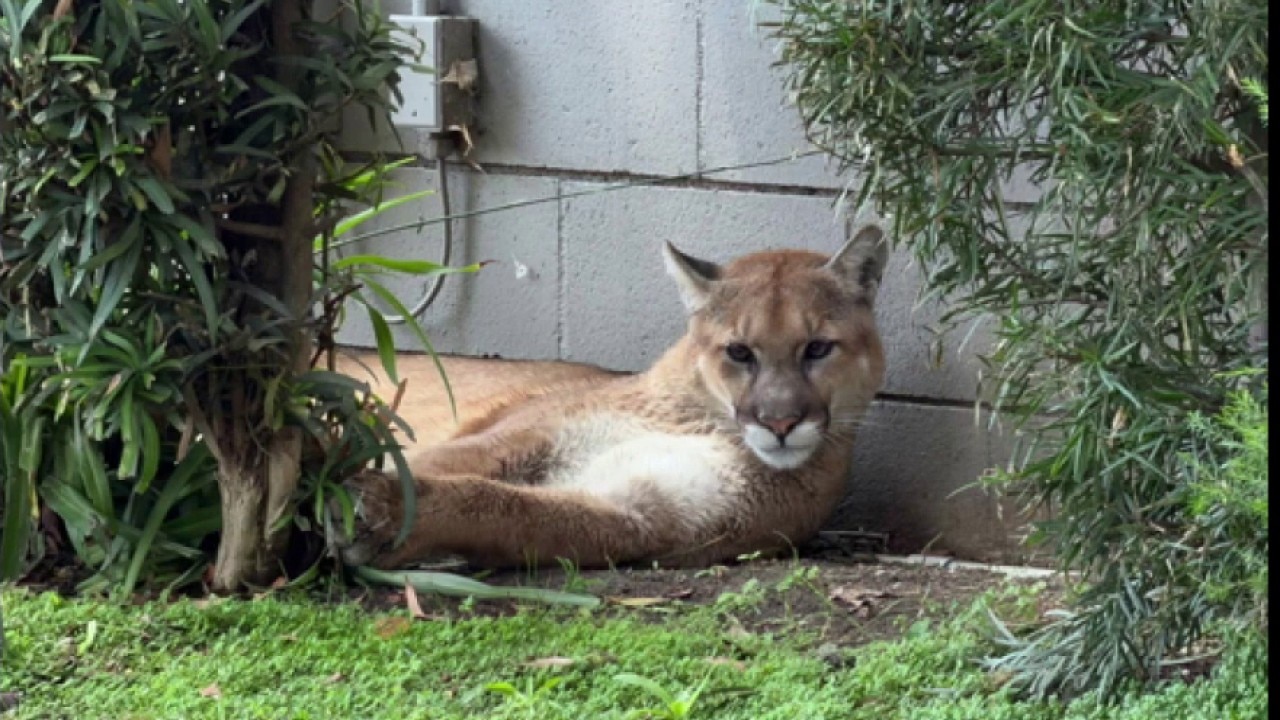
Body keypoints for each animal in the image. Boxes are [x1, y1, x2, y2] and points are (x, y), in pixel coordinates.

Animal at [332, 224, 889, 570]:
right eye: (739, 352)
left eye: (817, 348)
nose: (779, 422)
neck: (707, 424)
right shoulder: (520, 437)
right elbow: (441, 464)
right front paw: (361, 500)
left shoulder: (642, 515)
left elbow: (507, 507)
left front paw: (380, 515)